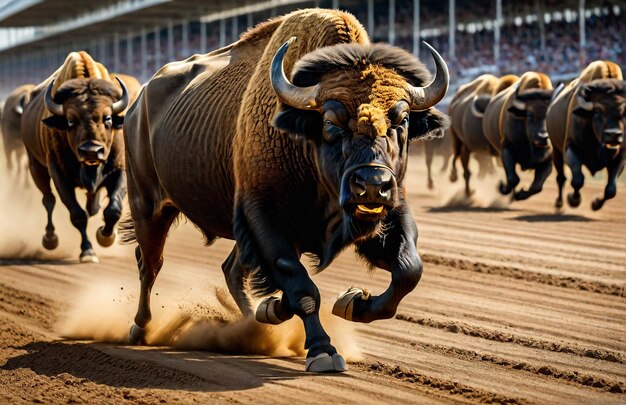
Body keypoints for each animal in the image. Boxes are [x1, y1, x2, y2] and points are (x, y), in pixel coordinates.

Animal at [21, 51, 129, 262]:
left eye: (108, 118)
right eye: (70, 121)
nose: (91, 151)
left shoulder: (119, 169)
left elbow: (113, 209)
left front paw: (106, 237)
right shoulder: (59, 174)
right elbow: (77, 215)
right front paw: (88, 251)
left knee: (92, 203)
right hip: (36, 167)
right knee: (49, 200)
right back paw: (50, 239)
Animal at [120, 7, 444, 370]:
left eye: (402, 120)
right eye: (331, 122)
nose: (372, 185)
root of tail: (136, 105)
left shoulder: (384, 218)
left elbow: (408, 270)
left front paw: (349, 302)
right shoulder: (264, 217)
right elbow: (302, 287)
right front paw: (322, 351)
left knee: (229, 270)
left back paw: (257, 323)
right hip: (148, 206)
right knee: (150, 263)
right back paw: (140, 329)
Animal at [480, 72, 552, 200]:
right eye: (529, 114)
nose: (543, 137)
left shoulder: (547, 160)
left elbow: (537, 186)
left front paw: (520, 194)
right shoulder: (507, 149)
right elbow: (513, 178)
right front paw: (503, 188)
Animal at [544, 62, 620, 211]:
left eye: (623, 112)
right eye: (597, 111)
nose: (614, 134)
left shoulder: (619, 158)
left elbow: (611, 190)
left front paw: (595, 203)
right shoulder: (570, 149)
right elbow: (578, 180)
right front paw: (573, 200)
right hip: (556, 151)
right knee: (561, 178)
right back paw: (559, 203)